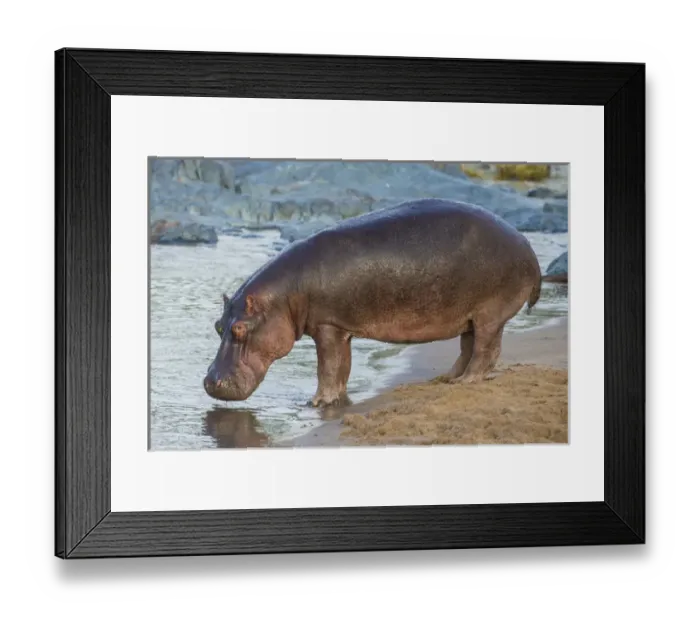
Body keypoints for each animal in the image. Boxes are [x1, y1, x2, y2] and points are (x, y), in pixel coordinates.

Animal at [203, 198, 542, 406]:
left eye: (239, 330)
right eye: (218, 326)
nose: (209, 383)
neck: (286, 296)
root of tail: (527, 246)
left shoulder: (327, 326)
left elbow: (327, 367)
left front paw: (315, 402)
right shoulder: (341, 328)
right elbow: (342, 367)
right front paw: (335, 399)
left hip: (489, 314)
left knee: (486, 349)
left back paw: (466, 382)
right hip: (468, 316)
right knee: (467, 347)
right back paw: (448, 378)